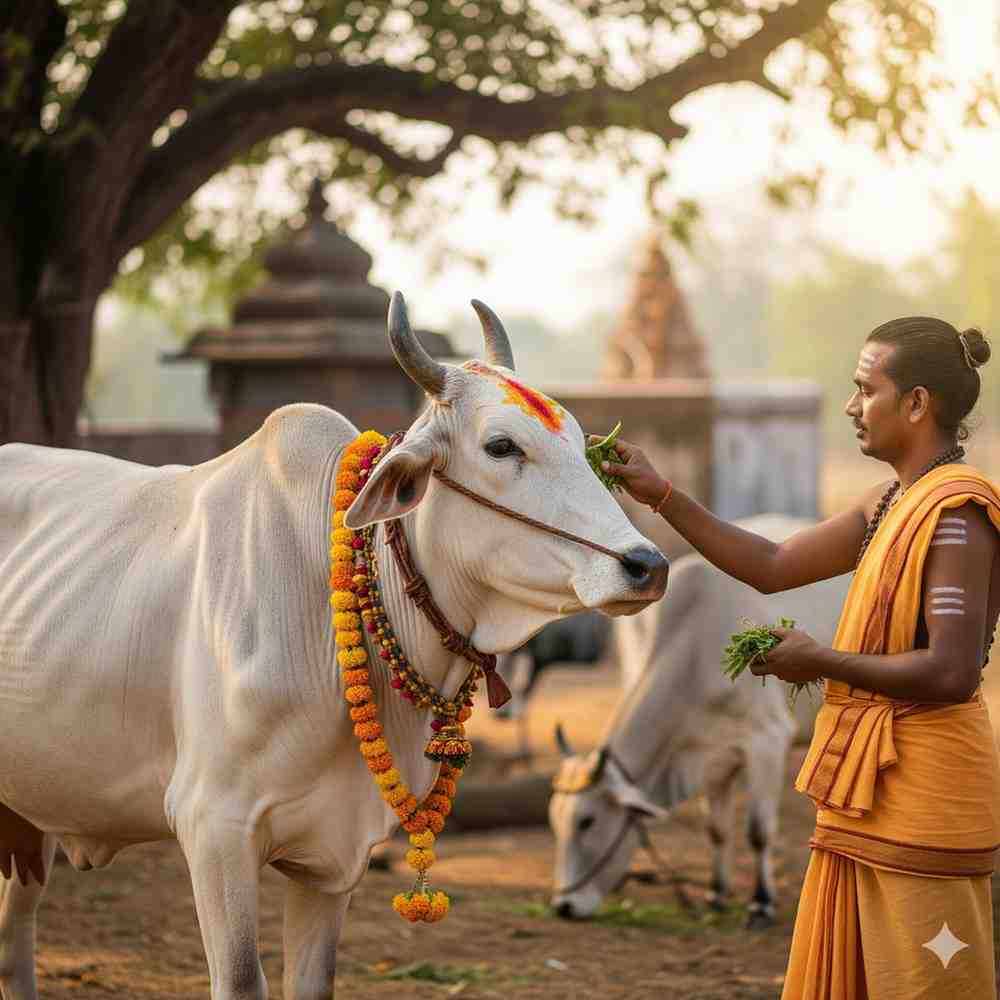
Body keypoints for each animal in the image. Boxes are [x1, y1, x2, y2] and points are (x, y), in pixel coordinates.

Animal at [0, 293, 668, 1000]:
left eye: (580, 441)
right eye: (501, 445)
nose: (646, 565)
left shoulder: (334, 856)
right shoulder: (213, 828)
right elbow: (242, 979)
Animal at [548, 515, 851, 929]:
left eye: (587, 821)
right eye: (554, 822)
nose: (563, 906)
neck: (695, 652)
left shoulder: (768, 741)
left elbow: (758, 830)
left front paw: (761, 903)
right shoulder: (709, 757)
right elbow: (717, 830)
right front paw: (716, 894)